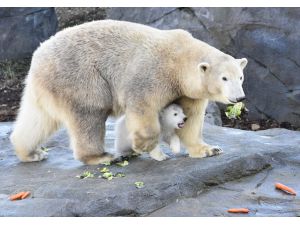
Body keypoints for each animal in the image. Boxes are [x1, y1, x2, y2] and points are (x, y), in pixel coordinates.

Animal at [10, 19, 247, 165]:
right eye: (224, 78)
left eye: (240, 76)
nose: (239, 97)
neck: (179, 60)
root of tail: (37, 56)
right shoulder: (153, 74)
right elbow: (143, 106)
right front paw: (142, 146)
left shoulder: (188, 90)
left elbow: (191, 116)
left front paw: (209, 149)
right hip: (80, 77)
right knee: (89, 113)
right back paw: (102, 156)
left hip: (47, 84)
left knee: (38, 118)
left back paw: (31, 152)